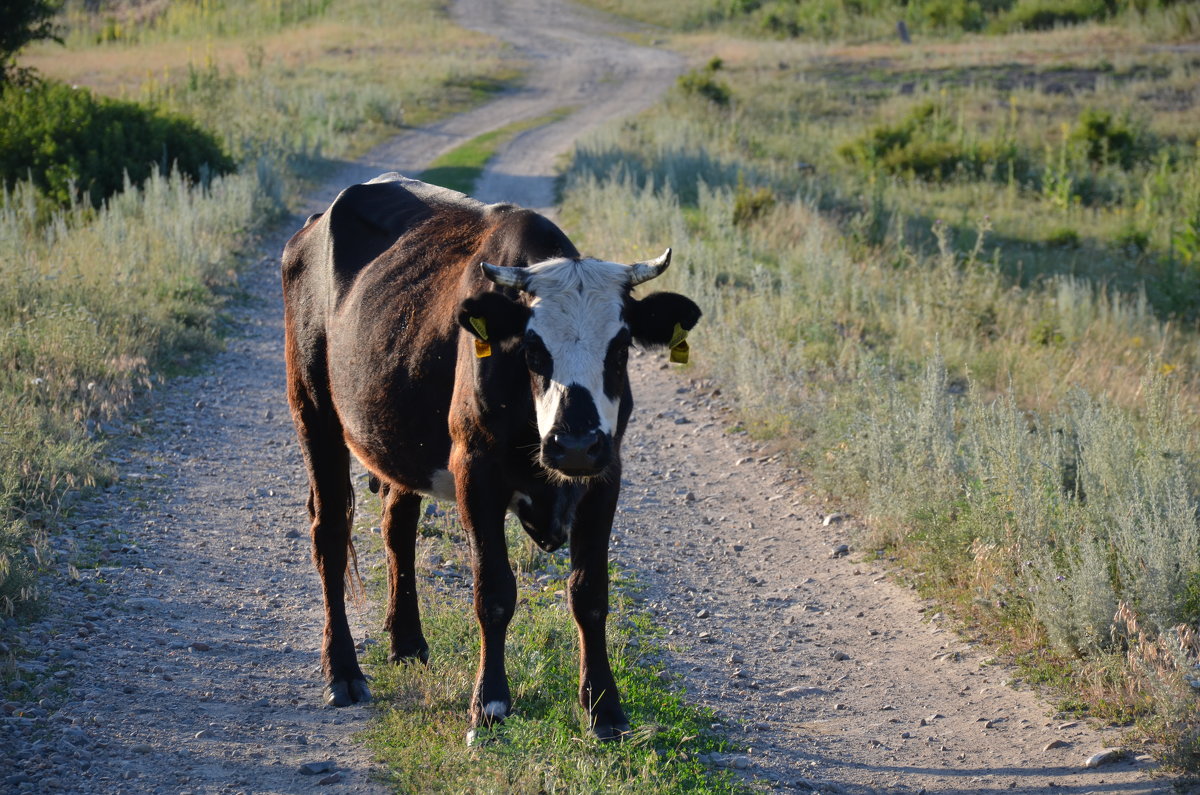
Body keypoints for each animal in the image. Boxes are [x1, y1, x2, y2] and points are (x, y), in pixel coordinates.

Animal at [280, 171, 700, 744]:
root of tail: (314, 224)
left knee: (397, 526)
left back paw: (406, 642)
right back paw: (342, 672)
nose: (572, 444)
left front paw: (604, 708)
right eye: (532, 349)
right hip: (314, 411)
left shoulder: (605, 473)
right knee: (329, 535)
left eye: (620, 348)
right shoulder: (475, 473)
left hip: (397, 441)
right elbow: (494, 591)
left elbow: (590, 593)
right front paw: (490, 704)